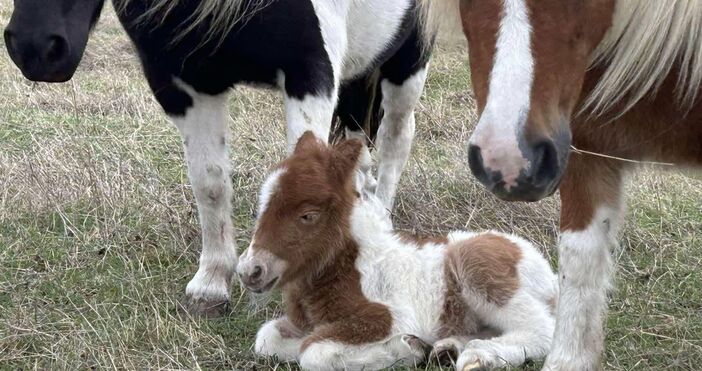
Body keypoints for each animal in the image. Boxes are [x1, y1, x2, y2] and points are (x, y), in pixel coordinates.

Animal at [5, 0, 432, 316]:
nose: (35, 48)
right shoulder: (186, 86)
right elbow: (209, 183)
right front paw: (212, 283)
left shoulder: (310, 73)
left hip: (409, 60)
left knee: (396, 138)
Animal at [239, 134, 560, 371]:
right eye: (262, 206)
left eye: (308, 215)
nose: (250, 271)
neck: (347, 267)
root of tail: (549, 275)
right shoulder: (305, 324)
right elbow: (267, 339)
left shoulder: (387, 319)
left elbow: (313, 354)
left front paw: (404, 349)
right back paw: (448, 349)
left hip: (480, 268)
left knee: (543, 329)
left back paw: (477, 357)